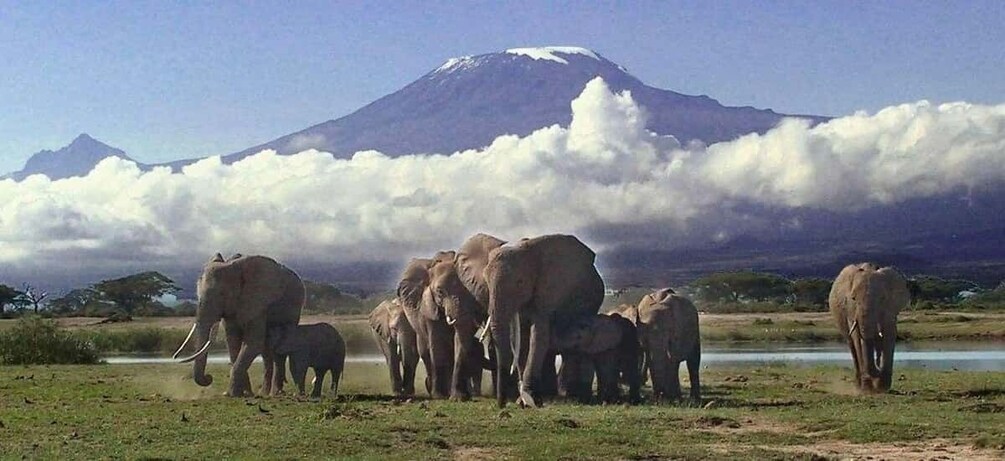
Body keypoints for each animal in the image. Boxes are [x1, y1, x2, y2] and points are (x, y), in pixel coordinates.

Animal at [174, 253, 305, 397]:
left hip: (294, 307)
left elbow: (253, 343)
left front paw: (232, 394)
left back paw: (275, 393)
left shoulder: (257, 302)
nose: (209, 377)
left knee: (280, 346)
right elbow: (233, 344)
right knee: (266, 350)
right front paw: (245, 393)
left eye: (222, 294)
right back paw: (264, 393)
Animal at [484, 234, 605, 408]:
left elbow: (539, 335)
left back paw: (574, 396)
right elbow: (523, 339)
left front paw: (530, 400)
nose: (502, 406)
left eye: (520, 282)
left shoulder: (548, 291)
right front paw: (522, 401)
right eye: (486, 282)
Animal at [828, 262, 909, 393]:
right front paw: (868, 388)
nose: (878, 369)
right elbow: (858, 337)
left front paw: (883, 387)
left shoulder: (890, 308)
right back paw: (859, 385)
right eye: (853, 298)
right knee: (852, 345)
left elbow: (889, 334)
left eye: (882, 298)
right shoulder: (851, 310)